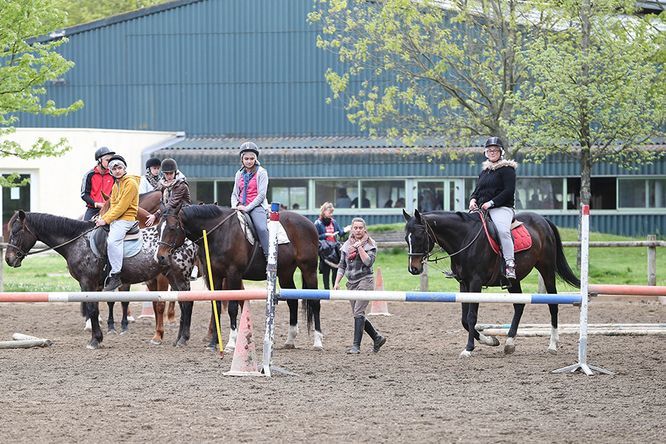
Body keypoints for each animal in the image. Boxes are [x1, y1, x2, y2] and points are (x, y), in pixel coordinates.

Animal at [5, 211, 197, 350]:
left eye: (16, 231)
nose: (8, 259)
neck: (79, 242)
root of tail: (187, 239)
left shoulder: (87, 283)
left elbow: (92, 310)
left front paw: (95, 340)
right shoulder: (93, 286)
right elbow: (94, 309)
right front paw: (97, 337)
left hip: (179, 277)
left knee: (187, 304)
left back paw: (183, 339)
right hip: (172, 277)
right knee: (183, 303)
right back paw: (178, 338)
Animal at [156, 204, 322, 350]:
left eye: (172, 228)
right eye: (158, 228)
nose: (161, 257)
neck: (218, 233)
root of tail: (309, 223)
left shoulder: (233, 275)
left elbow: (232, 308)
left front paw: (231, 343)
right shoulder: (214, 276)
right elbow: (216, 307)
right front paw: (213, 343)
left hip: (309, 270)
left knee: (315, 302)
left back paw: (318, 342)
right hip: (285, 273)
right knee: (292, 302)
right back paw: (290, 340)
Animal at [402, 208, 580, 358]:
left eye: (419, 236)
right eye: (406, 238)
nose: (413, 268)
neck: (465, 237)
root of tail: (543, 220)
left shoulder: (475, 282)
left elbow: (471, 317)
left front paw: (468, 349)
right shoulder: (463, 283)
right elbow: (464, 319)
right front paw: (490, 340)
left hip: (546, 269)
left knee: (553, 304)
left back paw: (553, 345)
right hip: (514, 279)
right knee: (519, 305)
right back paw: (509, 342)